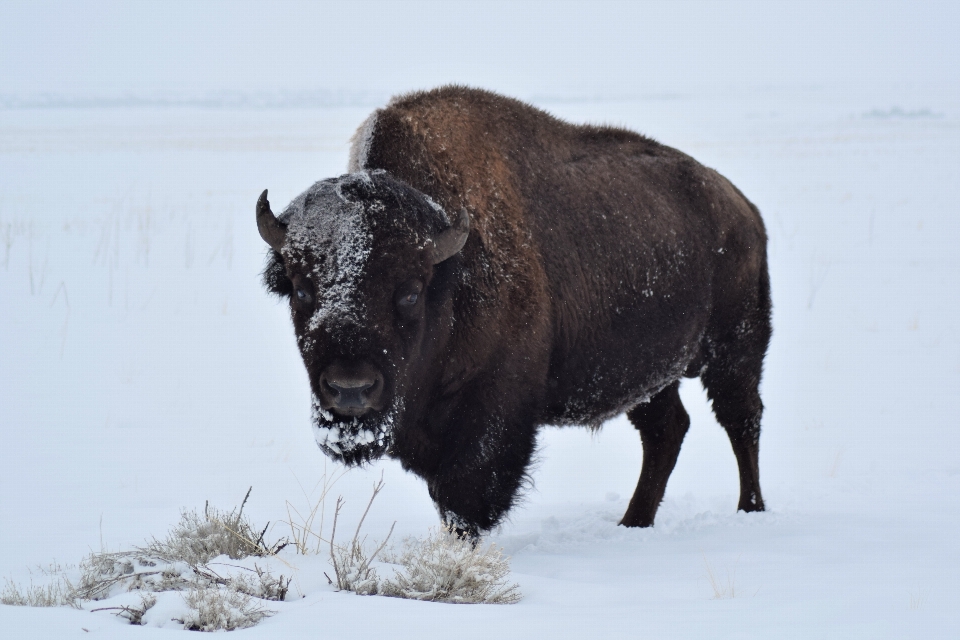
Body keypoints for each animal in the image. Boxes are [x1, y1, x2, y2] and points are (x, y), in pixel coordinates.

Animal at [256, 86, 772, 536]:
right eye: (301, 289)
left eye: (410, 291)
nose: (350, 388)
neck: (449, 271)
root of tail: (742, 208)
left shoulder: (493, 411)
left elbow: (465, 496)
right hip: (650, 373)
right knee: (667, 430)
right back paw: (633, 523)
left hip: (735, 350)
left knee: (741, 420)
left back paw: (750, 510)